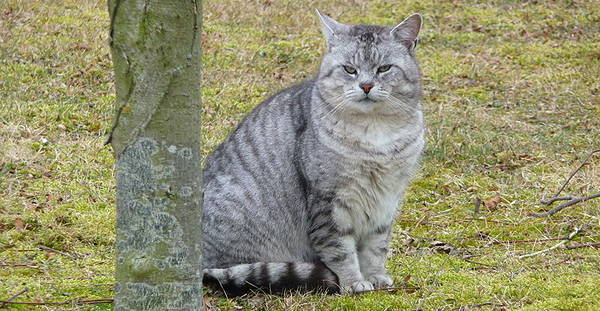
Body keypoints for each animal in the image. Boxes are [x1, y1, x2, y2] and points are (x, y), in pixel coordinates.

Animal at [200, 9, 422, 296]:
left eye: (384, 68)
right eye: (349, 69)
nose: (366, 86)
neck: (375, 132)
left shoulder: (386, 200)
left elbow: (376, 247)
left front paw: (375, 276)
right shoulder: (328, 202)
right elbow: (340, 250)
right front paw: (353, 282)